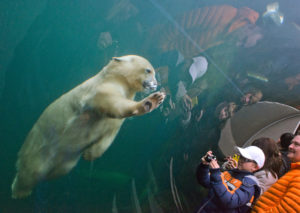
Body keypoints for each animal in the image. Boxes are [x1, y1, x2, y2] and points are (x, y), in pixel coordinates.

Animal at [11, 54, 165, 198]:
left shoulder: (113, 119)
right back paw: (19, 191)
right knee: (31, 171)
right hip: (38, 151)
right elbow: (115, 105)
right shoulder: (101, 90)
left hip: (66, 161)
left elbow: (111, 132)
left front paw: (89, 154)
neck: (114, 78)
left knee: (59, 170)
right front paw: (152, 101)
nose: (155, 84)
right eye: (148, 70)